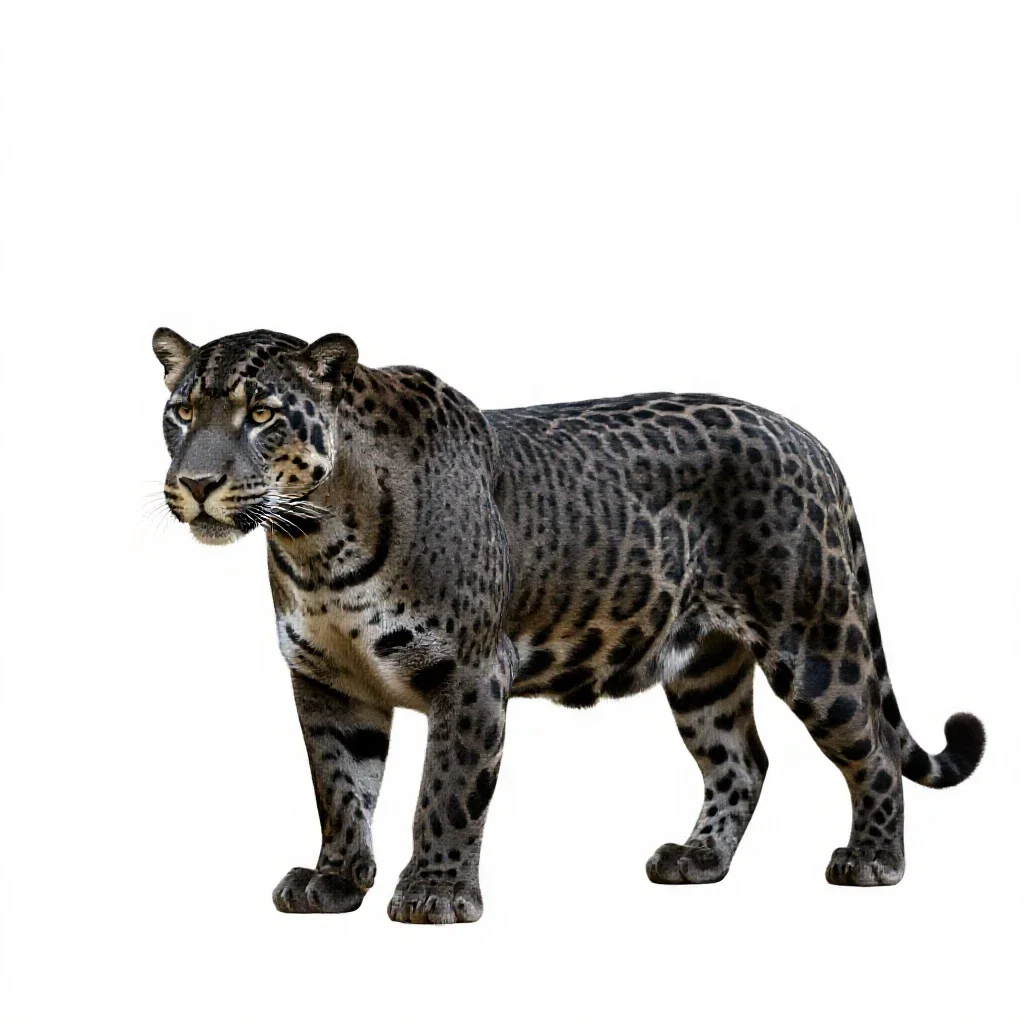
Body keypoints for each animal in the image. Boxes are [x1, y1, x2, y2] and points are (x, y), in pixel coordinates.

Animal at [154, 325, 985, 924]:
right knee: (741, 761)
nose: (196, 484)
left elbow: (445, 791)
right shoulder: (328, 683)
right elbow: (339, 789)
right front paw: (332, 885)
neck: (315, 542)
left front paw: (434, 895)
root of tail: (809, 441)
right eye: (182, 412)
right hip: (705, 668)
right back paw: (696, 861)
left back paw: (871, 863)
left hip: (812, 638)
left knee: (872, 749)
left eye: (262, 415)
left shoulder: (470, 673)